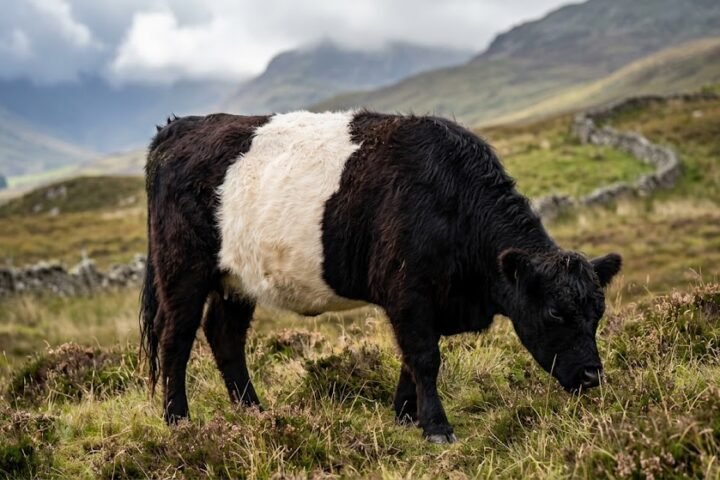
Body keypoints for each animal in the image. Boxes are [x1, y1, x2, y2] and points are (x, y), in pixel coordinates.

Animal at [140, 110, 622, 444]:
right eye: (556, 313)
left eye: (597, 313)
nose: (592, 377)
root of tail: (180, 126)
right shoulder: (408, 292)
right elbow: (425, 357)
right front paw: (437, 427)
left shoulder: (426, 302)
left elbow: (412, 359)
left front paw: (405, 416)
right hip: (182, 269)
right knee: (176, 338)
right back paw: (179, 421)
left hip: (237, 279)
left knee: (224, 336)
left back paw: (255, 414)